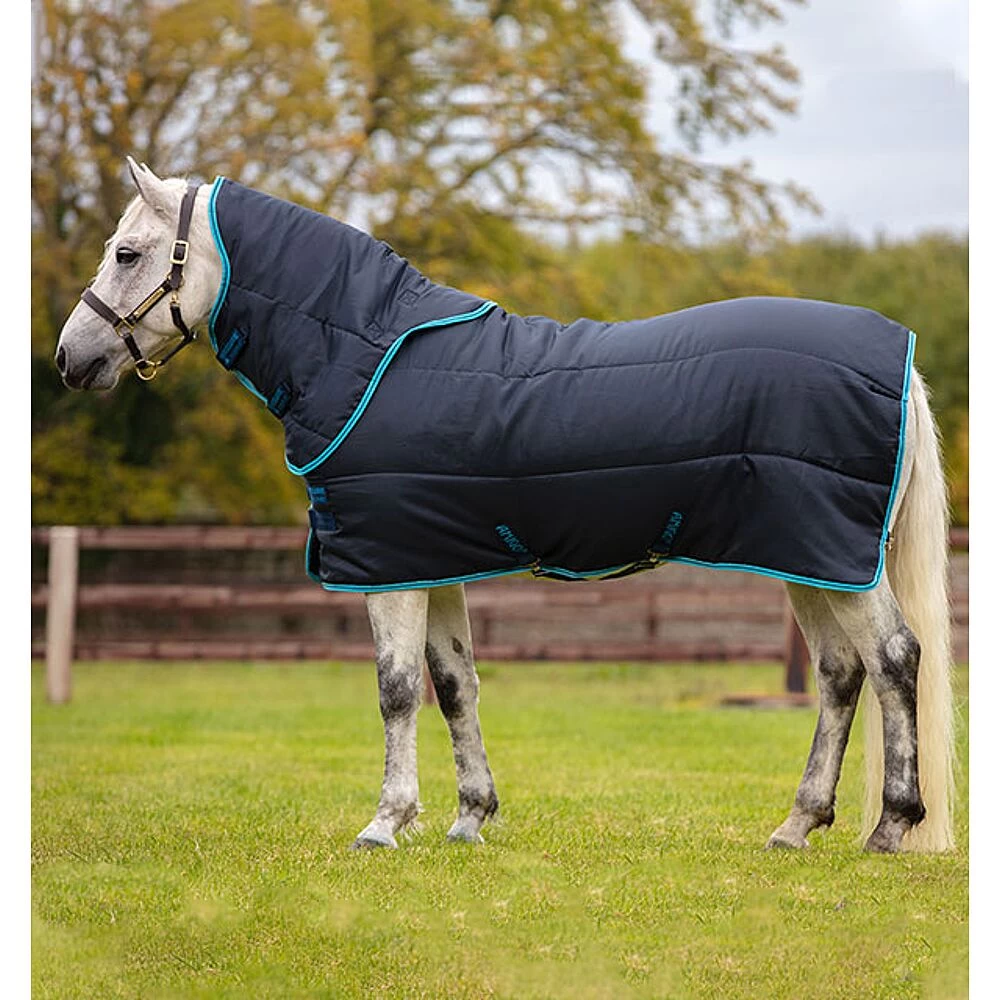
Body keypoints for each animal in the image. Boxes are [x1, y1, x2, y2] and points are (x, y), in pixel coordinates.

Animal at [54, 158, 955, 854]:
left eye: (128, 252)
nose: (70, 358)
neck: (365, 353)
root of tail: (901, 358)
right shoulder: (428, 560)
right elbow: (455, 685)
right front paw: (468, 819)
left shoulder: (388, 568)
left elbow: (395, 690)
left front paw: (385, 824)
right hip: (809, 557)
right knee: (841, 674)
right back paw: (796, 826)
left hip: (831, 557)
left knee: (893, 659)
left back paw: (890, 827)